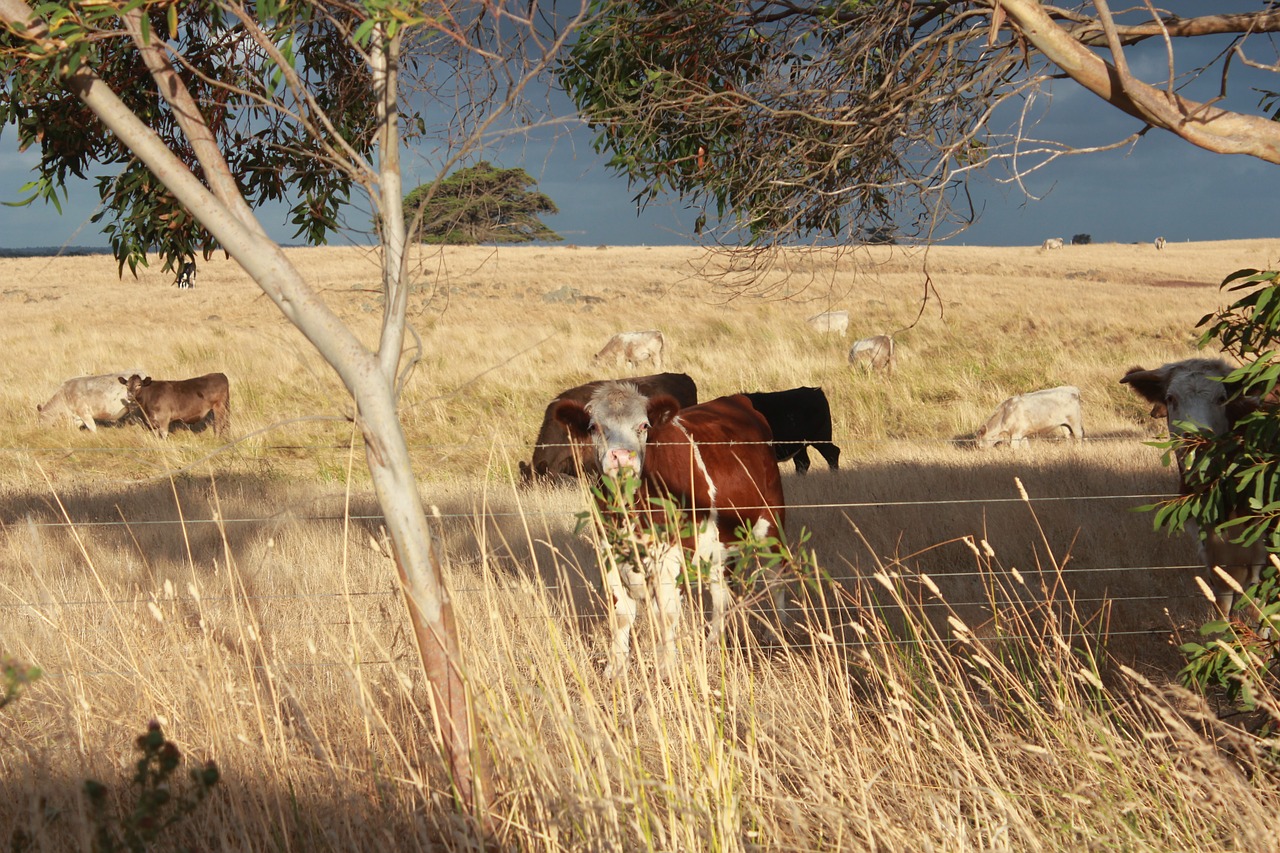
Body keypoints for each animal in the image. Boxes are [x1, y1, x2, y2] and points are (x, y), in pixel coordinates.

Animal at [555, 381, 783, 676]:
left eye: (644, 425)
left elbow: (666, 613)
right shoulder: (609, 554)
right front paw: (615, 669)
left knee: (775, 576)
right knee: (721, 591)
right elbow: (621, 615)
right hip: (720, 543)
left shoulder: (673, 557)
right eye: (594, 427)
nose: (622, 456)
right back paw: (713, 643)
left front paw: (666, 667)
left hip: (771, 522)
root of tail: (738, 400)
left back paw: (775, 634)